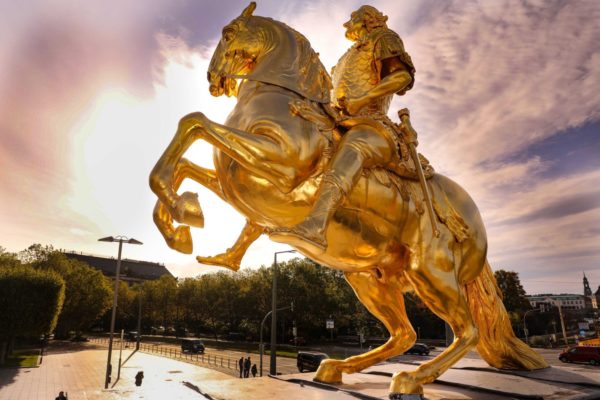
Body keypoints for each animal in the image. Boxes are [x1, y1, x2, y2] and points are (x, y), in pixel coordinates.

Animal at [151, 3, 548, 396]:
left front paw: (184, 212)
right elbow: (183, 161)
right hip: (368, 280)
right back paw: (335, 367)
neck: (280, 98)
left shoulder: (280, 165)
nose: (213, 80)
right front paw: (182, 222)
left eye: (229, 33)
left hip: (430, 271)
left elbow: (195, 123)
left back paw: (409, 379)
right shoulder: (235, 177)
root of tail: (473, 216)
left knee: (467, 331)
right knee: (405, 334)